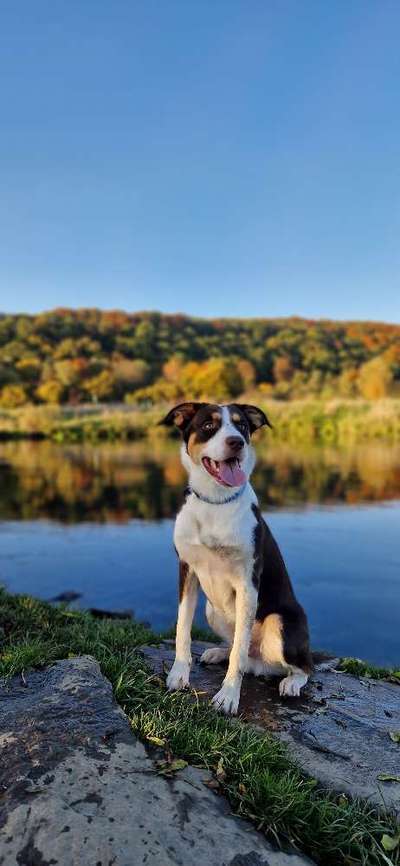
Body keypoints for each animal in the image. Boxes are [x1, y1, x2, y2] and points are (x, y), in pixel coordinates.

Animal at [160, 402, 312, 712]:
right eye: (209, 425)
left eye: (242, 425)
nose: (236, 442)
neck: (216, 501)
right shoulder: (187, 570)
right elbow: (182, 629)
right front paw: (179, 675)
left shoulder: (247, 584)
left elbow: (238, 653)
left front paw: (228, 695)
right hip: (213, 611)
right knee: (243, 653)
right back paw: (219, 652)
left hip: (280, 624)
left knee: (303, 667)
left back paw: (291, 682)